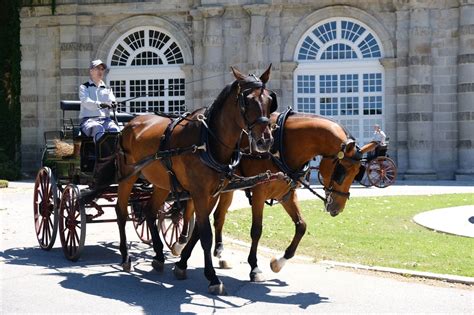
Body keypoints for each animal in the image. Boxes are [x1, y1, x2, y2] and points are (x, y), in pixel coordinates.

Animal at [115, 65, 278, 296]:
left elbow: (199, 231)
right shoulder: (199, 193)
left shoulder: (212, 193)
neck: (208, 141)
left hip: (161, 182)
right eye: (247, 101)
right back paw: (126, 256)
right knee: (121, 212)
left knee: (150, 211)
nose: (265, 141)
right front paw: (212, 278)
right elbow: (206, 234)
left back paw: (158, 256)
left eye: (269, 100)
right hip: (127, 177)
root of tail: (131, 123)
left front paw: (181, 264)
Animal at [172, 110, 376, 282]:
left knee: (218, 217)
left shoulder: (286, 194)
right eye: (341, 171)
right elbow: (256, 230)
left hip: (225, 189)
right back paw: (180, 244)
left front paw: (279, 262)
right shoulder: (259, 193)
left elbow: (301, 226)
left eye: (358, 172)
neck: (281, 145)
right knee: (192, 213)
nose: (336, 208)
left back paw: (219, 254)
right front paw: (254, 267)